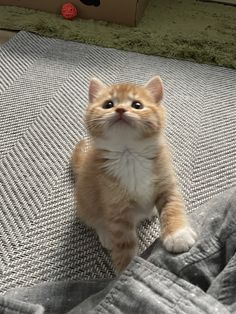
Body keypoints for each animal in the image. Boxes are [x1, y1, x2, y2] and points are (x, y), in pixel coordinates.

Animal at [72, 76, 197, 272]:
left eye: (137, 105)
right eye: (108, 104)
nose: (120, 109)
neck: (130, 154)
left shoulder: (166, 181)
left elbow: (172, 206)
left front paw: (178, 235)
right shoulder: (115, 204)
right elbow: (123, 240)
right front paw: (126, 269)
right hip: (86, 199)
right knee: (93, 218)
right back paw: (105, 234)